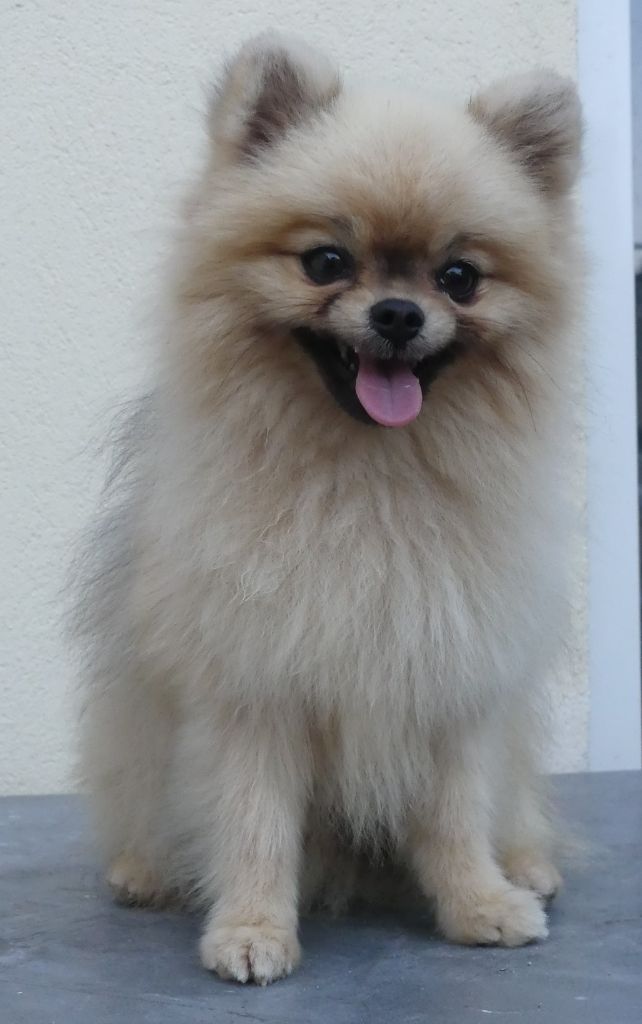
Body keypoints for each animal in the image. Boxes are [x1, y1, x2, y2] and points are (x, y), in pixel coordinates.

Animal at [73, 33, 582, 985]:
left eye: (460, 278)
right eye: (325, 263)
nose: (399, 312)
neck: (368, 483)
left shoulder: (451, 677)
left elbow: (457, 812)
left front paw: (481, 902)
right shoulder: (254, 686)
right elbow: (253, 822)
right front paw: (251, 929)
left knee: (514, 805)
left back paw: (528, 864)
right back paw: (144, 871)